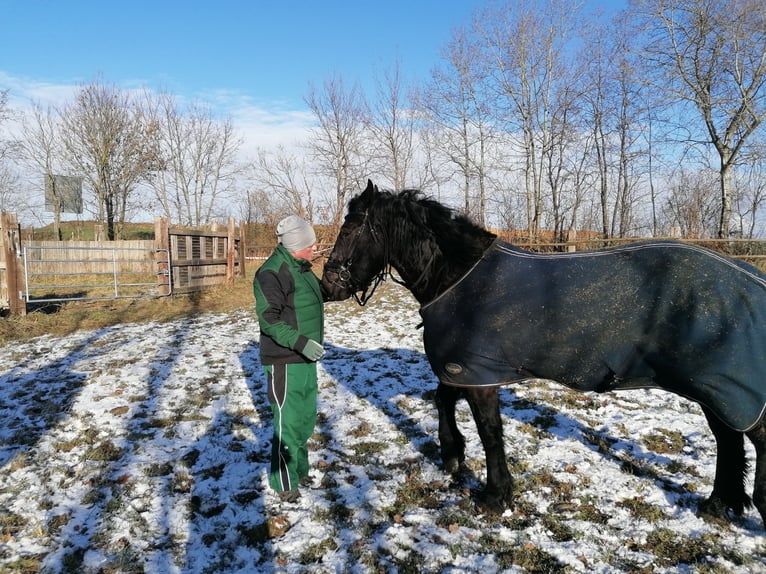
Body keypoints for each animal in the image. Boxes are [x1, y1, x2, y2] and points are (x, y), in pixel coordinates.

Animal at [320, 179, 766, 527]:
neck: (459, 277)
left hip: (728, 388)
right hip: (715, 390)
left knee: (750, 440)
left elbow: (490, 432)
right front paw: (452, 456)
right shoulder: (463, 368)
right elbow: (443, 399)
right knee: (729, 442)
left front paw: (495, 495)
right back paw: (717, 505)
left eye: (351, 229)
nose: (329, 287)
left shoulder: (477, 374)